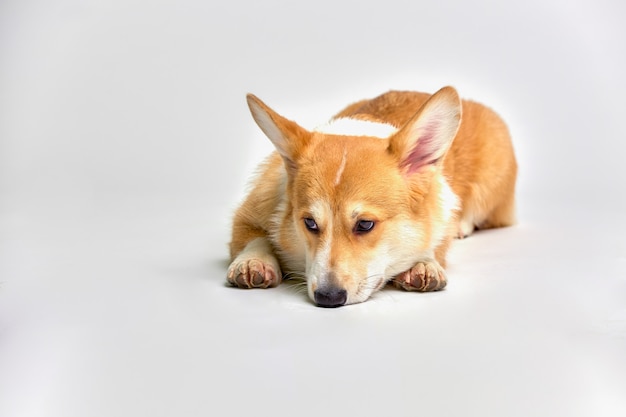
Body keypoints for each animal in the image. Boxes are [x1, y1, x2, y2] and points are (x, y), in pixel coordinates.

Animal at [227, 86, 516, 306]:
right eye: (309, 223)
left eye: (365, 225)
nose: (328, 298)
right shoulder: (253, 208)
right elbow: (253, 237)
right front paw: (252, 262)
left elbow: (433, 245)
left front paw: (425, 265)